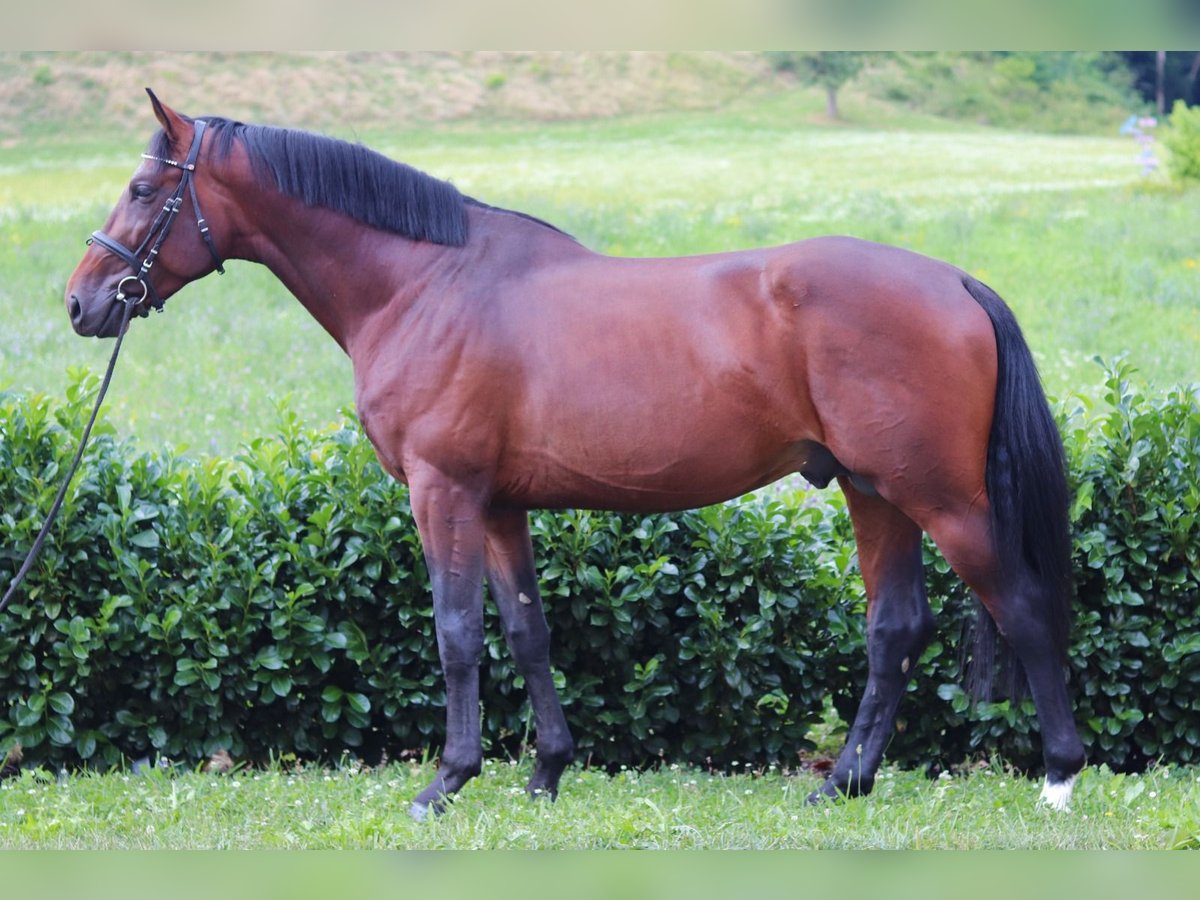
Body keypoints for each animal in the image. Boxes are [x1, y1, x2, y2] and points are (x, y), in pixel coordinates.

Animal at [60, 90, 1084, 816]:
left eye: (145, 189)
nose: (83, 301)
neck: (426, 283)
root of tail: (954, 280)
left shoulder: (442, 492)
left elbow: (456, 633)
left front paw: (446, 782)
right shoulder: (501, 503)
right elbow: (527, 632)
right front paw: (545, 773)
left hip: (941, 497)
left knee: (1025, 609)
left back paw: (1059, 777)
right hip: (875, 492)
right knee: (895, 630)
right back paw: (843, 783)